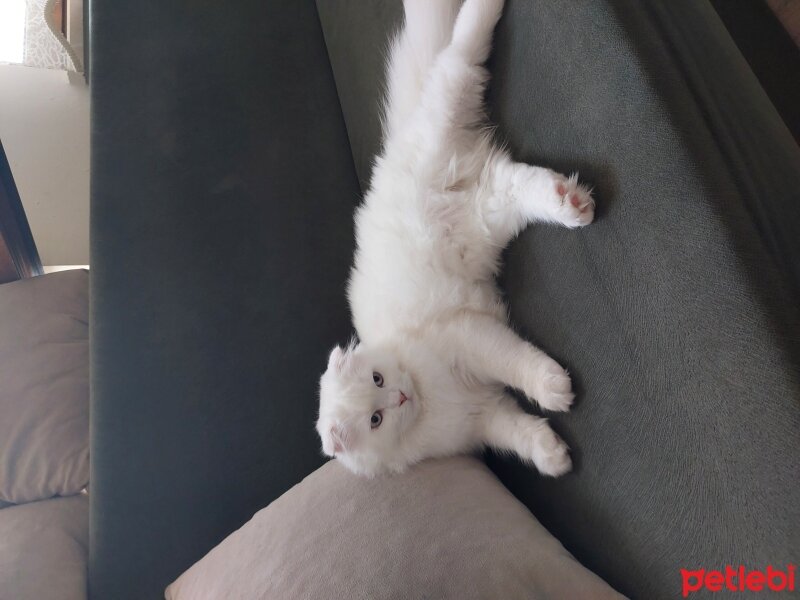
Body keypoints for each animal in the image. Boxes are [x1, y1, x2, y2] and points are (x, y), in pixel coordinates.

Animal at [316, 0, 592, 478]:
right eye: (376, 418)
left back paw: (486, 6)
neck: (431, 398)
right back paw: (573, 204)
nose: (400, 395)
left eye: (377, 380)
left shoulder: (471, 338)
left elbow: (520, 364)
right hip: (493, 207)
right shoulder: (482, 418)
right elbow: (522, 433)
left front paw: (554, 387)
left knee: (459, 51)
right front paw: (554, 457)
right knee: (530, 186)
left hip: (448, 106)